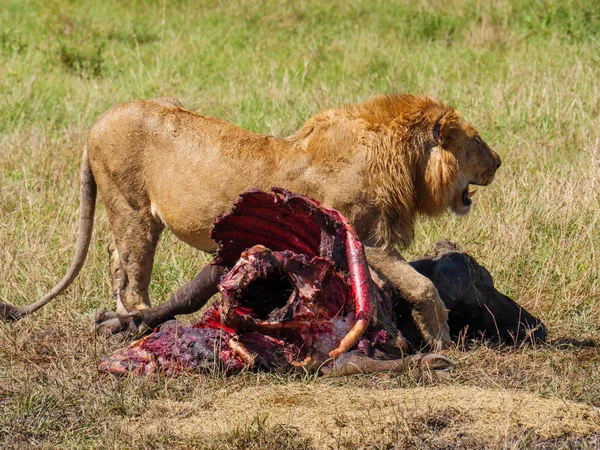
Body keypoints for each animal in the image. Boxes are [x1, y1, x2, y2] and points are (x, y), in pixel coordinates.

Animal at [1, 94, 502, 348]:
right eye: (477, 140)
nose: (498, 161)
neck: (402, 161)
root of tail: (97, 122)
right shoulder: (367, 236)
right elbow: (424, 286)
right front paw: (441, 341)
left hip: (133, 216)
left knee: (115, 258)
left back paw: (126, 317)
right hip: (134, 212)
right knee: (133, 276)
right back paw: (142, 324)